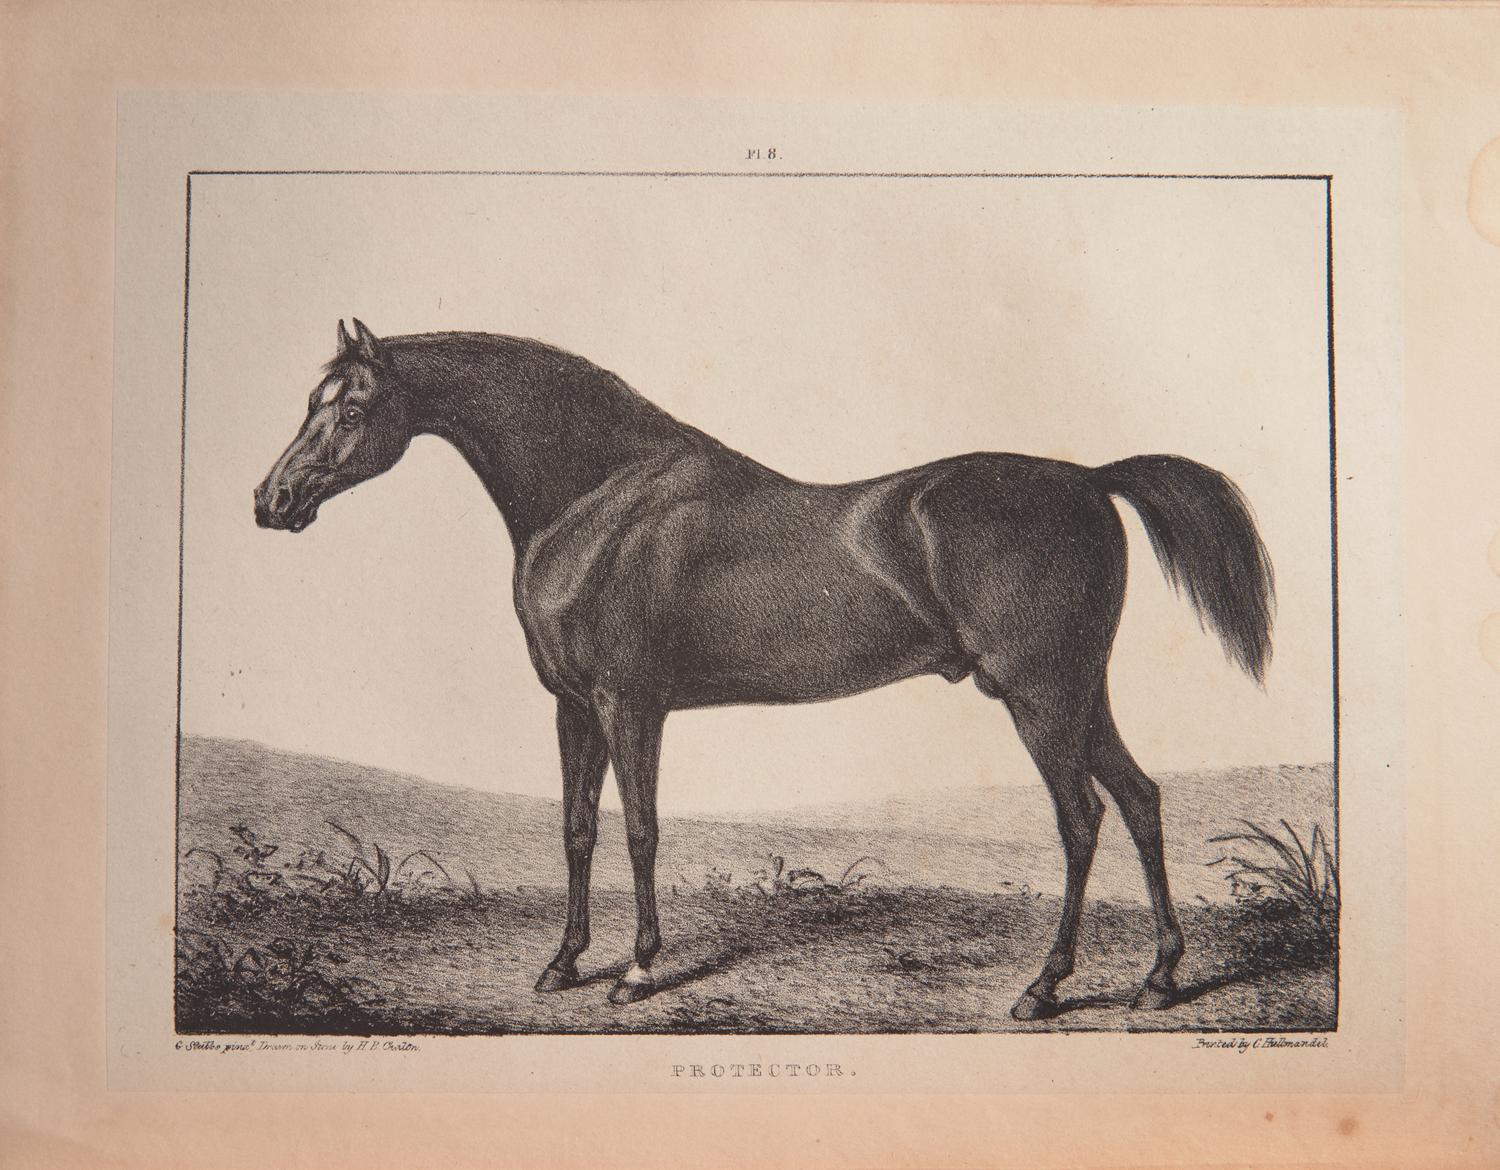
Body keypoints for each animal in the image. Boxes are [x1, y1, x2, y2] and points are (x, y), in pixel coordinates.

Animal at [253, 319, 1274, 1020]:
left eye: (352, 407)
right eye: (310, 402)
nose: (272, 500)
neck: (597, 499)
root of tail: (1090, 479)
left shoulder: (632, 705)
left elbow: (641, 831)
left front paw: (637, 970)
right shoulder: (574, 707)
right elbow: (579, 830)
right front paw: (561, 965)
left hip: (1038, 696)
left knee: (1082, 819)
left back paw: (1044, 989)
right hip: (1076, 693)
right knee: (1140, 800)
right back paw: (1158, 978)